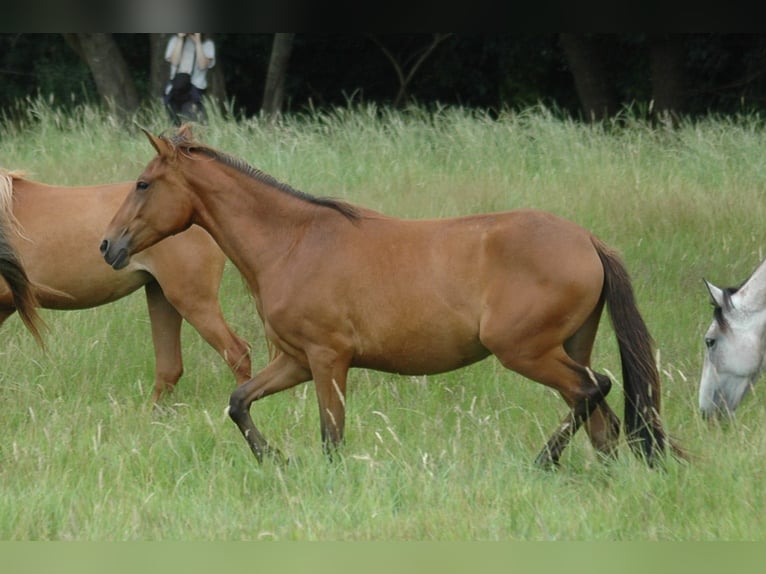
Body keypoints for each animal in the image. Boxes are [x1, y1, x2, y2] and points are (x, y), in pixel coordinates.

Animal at [101, 125, 681, 468]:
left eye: (143, 183)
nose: (108, 245)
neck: (292, 242)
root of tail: (587, 240)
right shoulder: (294, 361)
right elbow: (239, 401)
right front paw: (276, 460)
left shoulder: (328, 358)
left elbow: (331, 435)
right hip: (566, 347)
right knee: (602, 421)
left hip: (527, 351)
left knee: (594, 390)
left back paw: (542, 463)